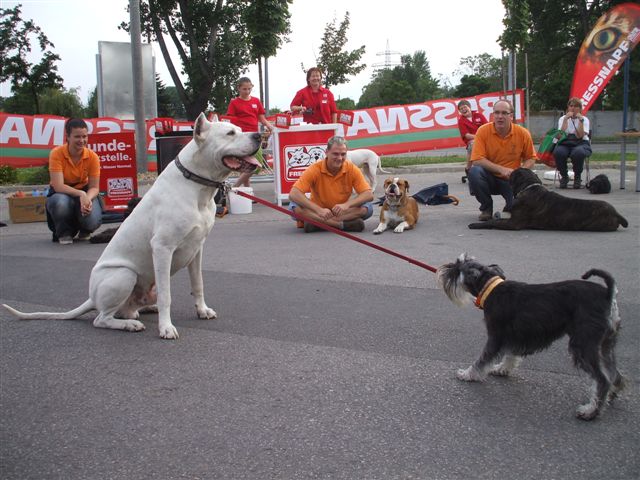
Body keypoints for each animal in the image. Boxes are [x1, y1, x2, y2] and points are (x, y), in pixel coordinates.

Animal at [2, 115, 262, 342]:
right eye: (230, 133)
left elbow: (198, 284)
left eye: (239, 129)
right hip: (124, 275)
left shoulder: (197, 249)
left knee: (124, 309)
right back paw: (130, 324)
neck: (196, 184)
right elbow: (168, 295)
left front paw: (202, 310)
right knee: (101, 319)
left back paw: (142, 311)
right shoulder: (162, 248)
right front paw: (166, 328)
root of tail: (91, 297)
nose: (259, 135)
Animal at [468, 169, 628, 232]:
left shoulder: (513, 223)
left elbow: (494, 222)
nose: (509, 173)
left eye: (513, 174)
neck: (530, 187)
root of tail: (617, 213)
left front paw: (476, 225)